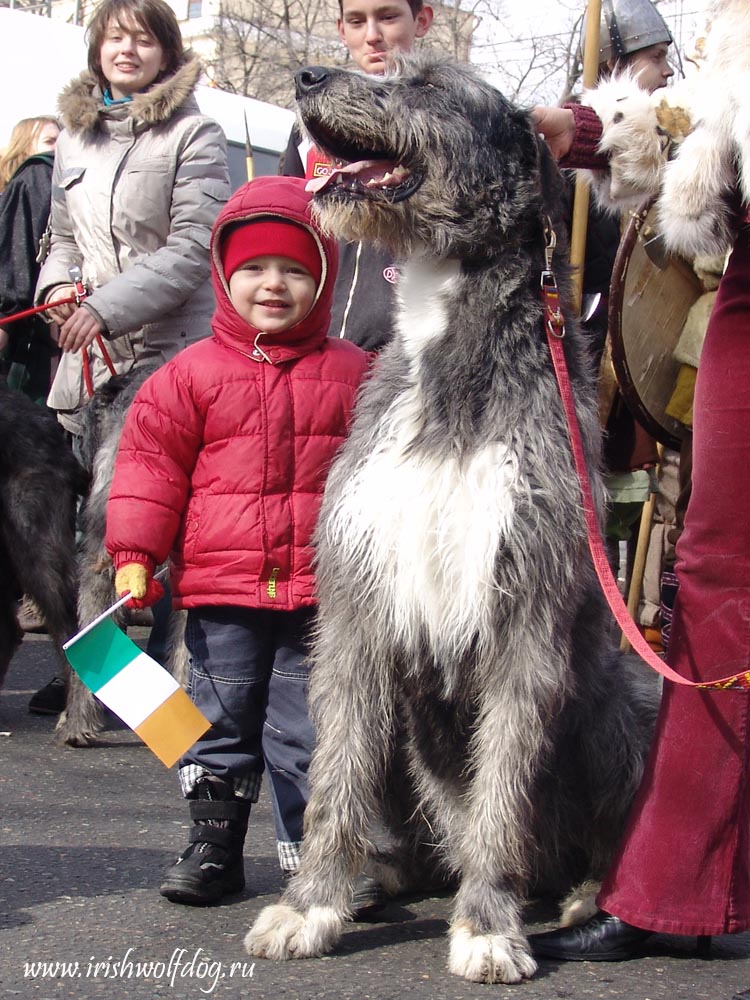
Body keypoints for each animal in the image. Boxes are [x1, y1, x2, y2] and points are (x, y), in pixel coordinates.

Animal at [245, 56, 656, 984]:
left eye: (428, 83)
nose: (308, 74)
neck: (446, 348)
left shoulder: (526, 616)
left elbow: (502, 790)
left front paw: (487, 925)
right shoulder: (358, 609)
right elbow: (336, 780)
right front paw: (310, 905)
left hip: (615, 708)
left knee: (597, 827)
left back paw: (587, 898)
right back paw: (387, 874)